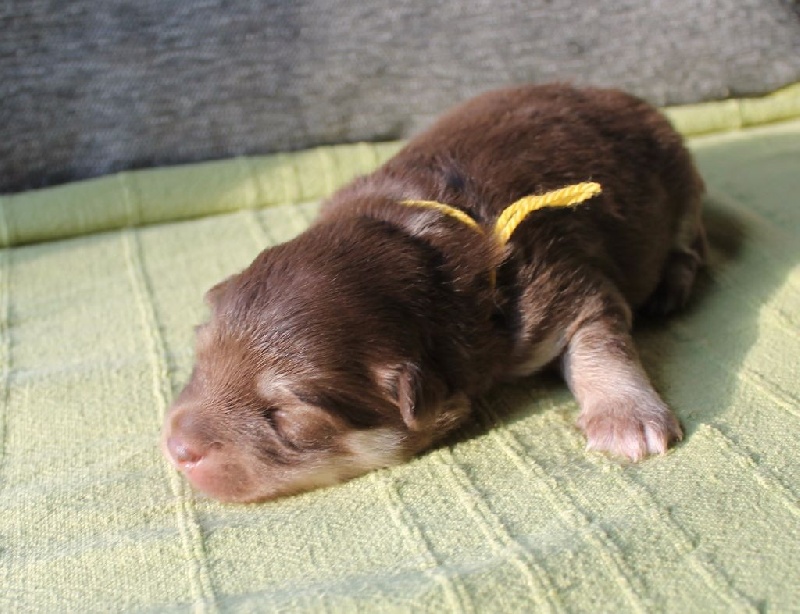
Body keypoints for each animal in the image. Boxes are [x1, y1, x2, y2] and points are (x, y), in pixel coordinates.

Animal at [162, 83, 706, 502]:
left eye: (286, 415)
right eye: (200, 356)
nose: (176, 448)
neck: (422, 243)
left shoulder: (565, 288)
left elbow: (599, 342)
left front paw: (625, 419)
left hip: (680, 180)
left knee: (691, 244)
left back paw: (673, 285)